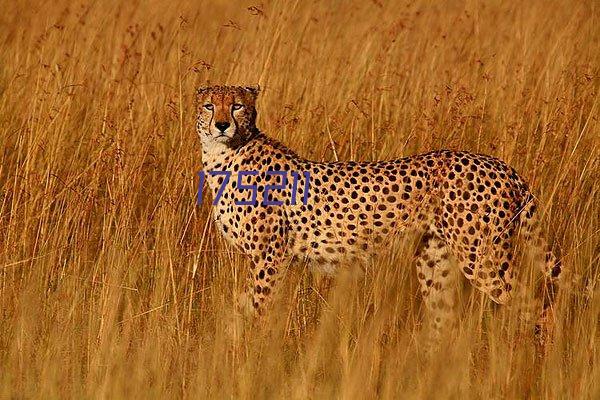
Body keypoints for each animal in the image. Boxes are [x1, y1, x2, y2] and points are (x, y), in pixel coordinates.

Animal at [197, 85, 564, 350]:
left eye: (237, 105)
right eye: (209, 105)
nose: (222, 124)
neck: (226, 155)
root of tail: (502, 165)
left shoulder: (270, 256)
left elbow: (256, 309)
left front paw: (252, 355)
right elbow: (240, 309)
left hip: (482, 256)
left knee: (536, 305)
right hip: (433, 260)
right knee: (444, 321)